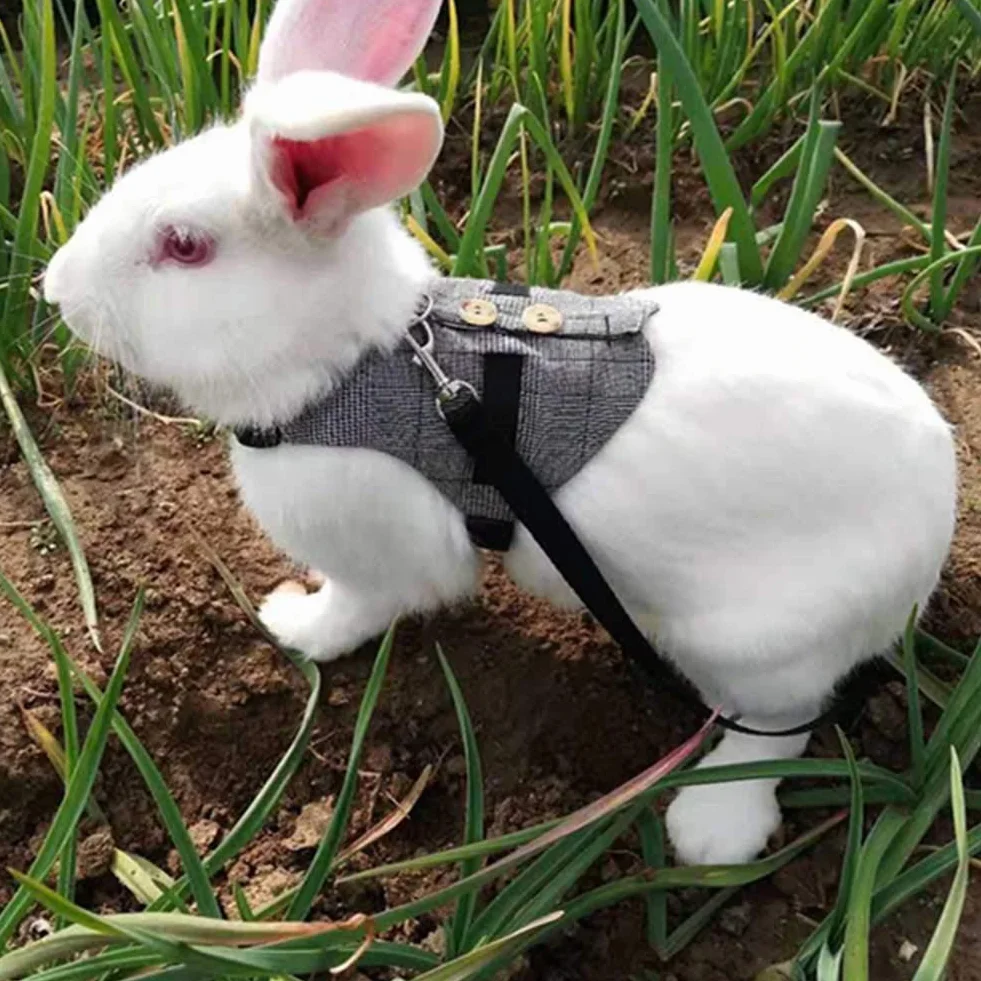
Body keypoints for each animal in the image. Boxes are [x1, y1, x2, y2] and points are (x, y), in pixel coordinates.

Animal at [43, 0, 957, 867]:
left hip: (756, 646)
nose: (55, 290)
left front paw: (293, 624)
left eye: (184, 246)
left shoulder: (380, 555)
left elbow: (360, 606)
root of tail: (935, 524)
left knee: (775, 725)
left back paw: (711, 829)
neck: (358, 360)